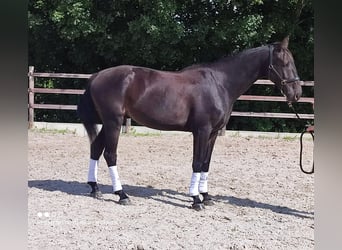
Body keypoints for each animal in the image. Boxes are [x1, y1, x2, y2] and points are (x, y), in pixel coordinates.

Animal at [77, 36, 302, 210]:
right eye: (284, 63)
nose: (297, 93)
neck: (220, 83)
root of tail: (97, 75)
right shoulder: (201, 131)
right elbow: (197, 162)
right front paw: (195, 199)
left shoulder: (213, 134)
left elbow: (206, 163)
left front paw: (206, 196)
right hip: (113, 122)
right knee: (110, 154)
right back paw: (121, 194)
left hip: (109, 123)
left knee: (96, 148)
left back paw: (95, 188)